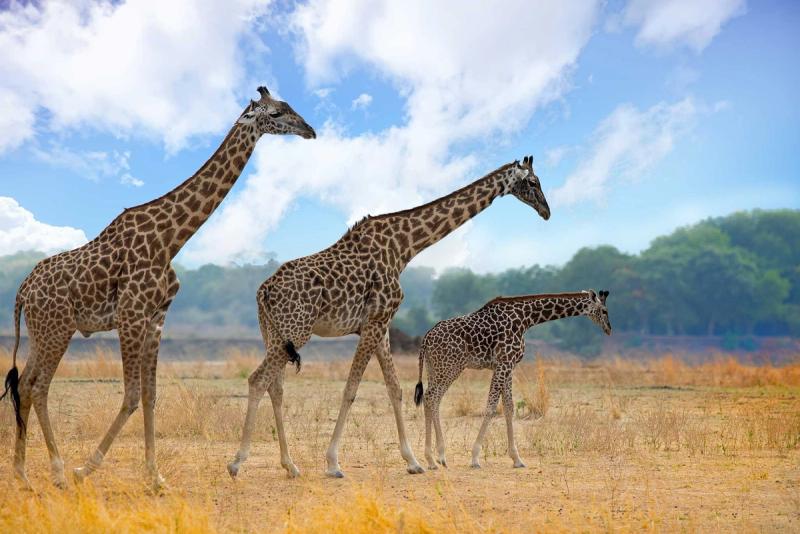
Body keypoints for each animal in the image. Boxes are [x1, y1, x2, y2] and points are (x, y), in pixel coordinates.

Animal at [0, 86, 315, 491]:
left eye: (290, 107)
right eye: (275, 113)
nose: (310, 130)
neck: (170, 240)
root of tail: (22, 290)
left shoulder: (156, 317)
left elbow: (150, 395)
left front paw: (154, 475)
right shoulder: (131, 314)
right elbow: (132, 395)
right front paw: (87, 467)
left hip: (44, 330)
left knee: (24, 384)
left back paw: (22, 473)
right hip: (57, 328)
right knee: (39, 387)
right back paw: (57, 471)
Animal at [227, 155, 551, 479]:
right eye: (533, 182)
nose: (546, 212)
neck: (404, 247)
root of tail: (264, 291)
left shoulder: (380, 326)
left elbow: (395, 389)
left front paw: (413, 461)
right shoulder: (374, 322)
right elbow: (351, 389)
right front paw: (333, 463)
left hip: (274, 333)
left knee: (275, 387)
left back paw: (290, 465)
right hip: (297, 331)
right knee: (258, 380)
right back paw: (237, 462)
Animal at [414, 290, 611, 470]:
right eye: (604, 310)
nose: (609, 329)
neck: (526, 319)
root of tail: (426, 338)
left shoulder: (509, 366)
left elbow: (509, 408)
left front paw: (517, 459)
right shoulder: (504, 363)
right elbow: (491, 407)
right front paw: (475, 458)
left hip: (435, 368)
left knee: (431, 398)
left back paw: (435, 458)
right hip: (449, 367)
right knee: (432, 397)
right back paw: (435, 458)